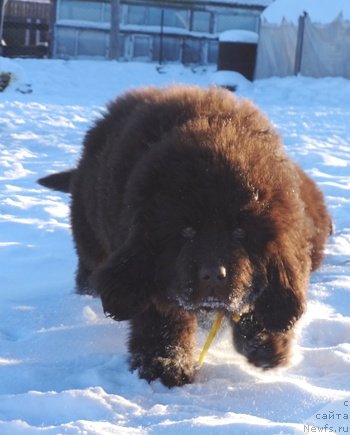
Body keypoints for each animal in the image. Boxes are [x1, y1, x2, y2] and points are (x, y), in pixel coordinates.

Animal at [38, 86, 330, 388]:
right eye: (186, 231)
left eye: (240, 232)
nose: (214, 274)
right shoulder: (152, 271)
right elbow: (163, 317)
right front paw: (165, 364)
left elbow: (265, 293)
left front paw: (266, 345)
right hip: (89, 234)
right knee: (88, 267)